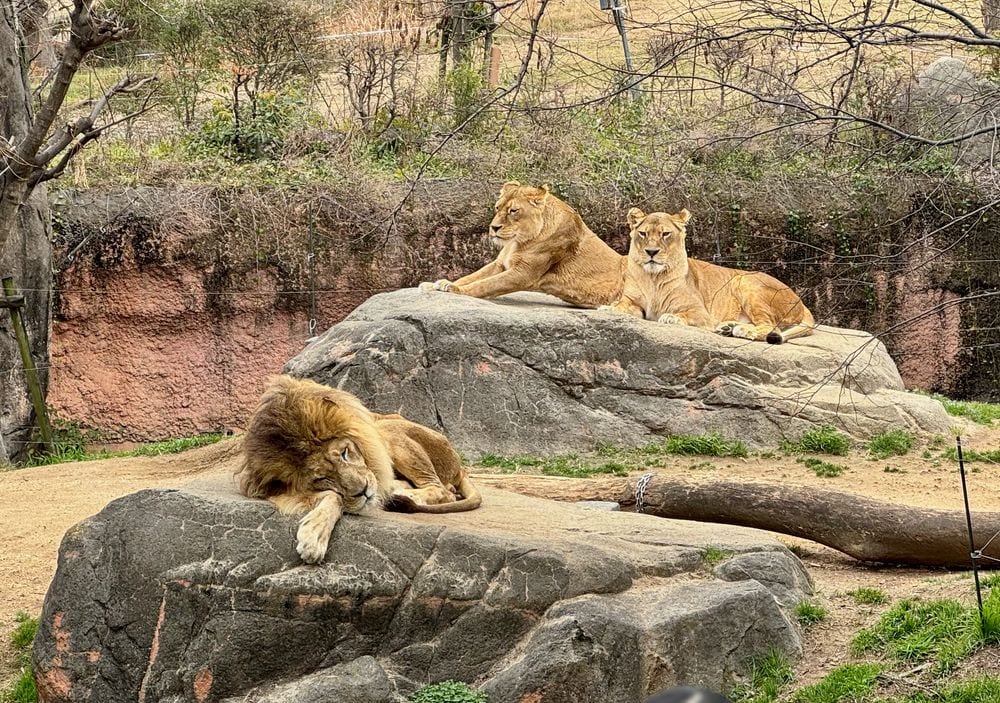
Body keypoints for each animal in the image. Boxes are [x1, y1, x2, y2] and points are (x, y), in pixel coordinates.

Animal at [238, 375, 481, 564]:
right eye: (322, 478)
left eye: (345, 453)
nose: (364, 491)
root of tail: (459, 465)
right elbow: (334, 496)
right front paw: (315, 534)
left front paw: (312, 538)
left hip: (387, 428)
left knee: (443, 490)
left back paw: (399, 494)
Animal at [419, 181, 626, 308]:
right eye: (497, 207)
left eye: (513, 211)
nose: (494, 227)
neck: (518, 241)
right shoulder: (500, 264)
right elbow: (472, 276)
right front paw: (436, 284)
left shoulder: (523, 273)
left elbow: (485, 285)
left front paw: (456, 289)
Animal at [601, 208, 815, 343]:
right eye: (643, 233)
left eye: (665, 234)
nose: (651, 252)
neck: (654, 277)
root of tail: (802, 303)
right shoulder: (633, 302)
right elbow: (622, 306)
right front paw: (608, 307)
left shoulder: (700, 313)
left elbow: (684, 315)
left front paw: (671, 317)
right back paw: (727, 328)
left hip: (745, 282)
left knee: (772, 327)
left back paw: (742, 330)